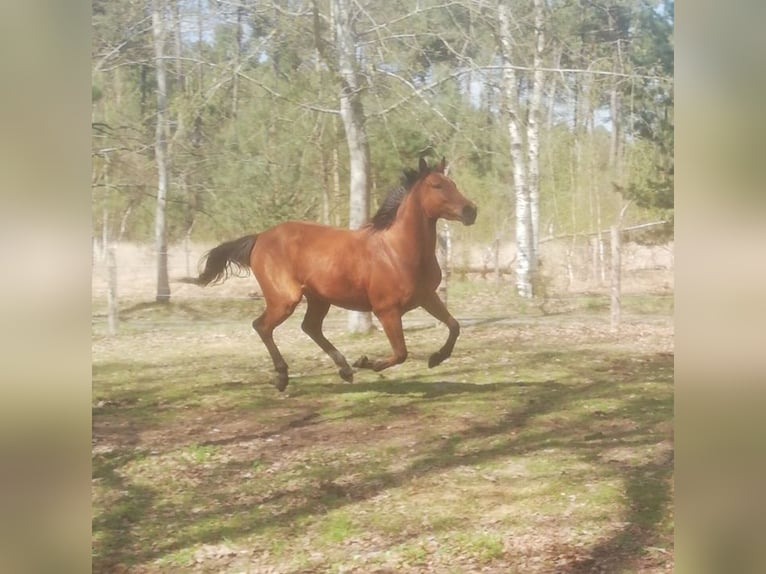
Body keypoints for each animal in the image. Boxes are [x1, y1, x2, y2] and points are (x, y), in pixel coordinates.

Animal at [183, 158, 476, 392]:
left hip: (318, 298)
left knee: (310, 327)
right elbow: (401, 353)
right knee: (262, 326)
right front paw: (367, 362)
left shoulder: (427, 297)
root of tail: (259, 237)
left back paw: (344, 370)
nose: (471, 211)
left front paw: (436, 358)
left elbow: (454, 326)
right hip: (285, 299)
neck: (398, 250)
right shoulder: (386, 310)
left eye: (453, 183)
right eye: (437, 185)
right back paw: (283, 377)